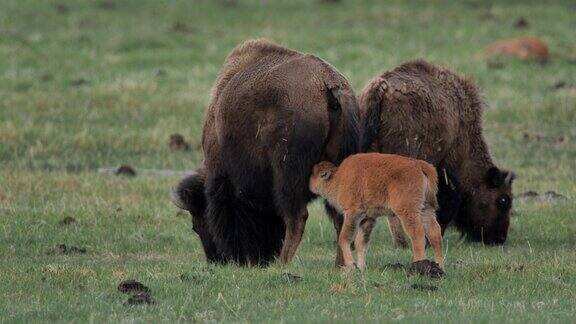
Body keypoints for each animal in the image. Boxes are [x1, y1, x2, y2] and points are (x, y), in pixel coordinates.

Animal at [172, 38, 360, 266]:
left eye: (198, 223)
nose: (216, 259)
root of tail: (328, 85)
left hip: (287, 176)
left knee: (297, 217)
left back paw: (283, 263)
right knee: (339, 218)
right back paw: (339, 265)